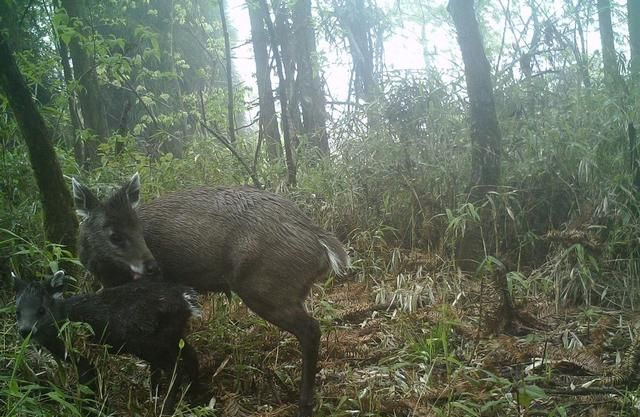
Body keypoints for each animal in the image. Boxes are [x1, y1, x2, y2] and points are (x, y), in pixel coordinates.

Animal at [14, 270, 200, 410]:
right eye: (17, 311)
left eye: (41, 310)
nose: (25, 330)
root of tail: (187, 300)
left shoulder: (83, 355)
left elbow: (89, 386)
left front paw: (91, 408)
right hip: (172, 335)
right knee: (191, 356)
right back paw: (192, 397)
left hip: (152, 343)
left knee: (176, 369)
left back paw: (166, 407)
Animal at [73, 173, 352, 416]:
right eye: (114, 235)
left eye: (139, 230)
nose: (153, 267)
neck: (110, 276)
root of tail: (323, 245)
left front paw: (164, 396)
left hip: (264, 288)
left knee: (310, 329)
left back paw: (304, 403)